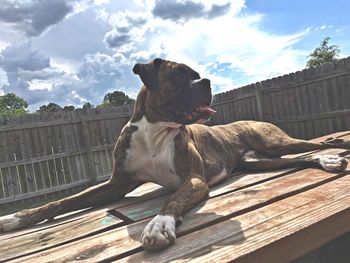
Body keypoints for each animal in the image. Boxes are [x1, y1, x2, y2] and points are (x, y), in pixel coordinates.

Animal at [0, 58, 350, 252]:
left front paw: (158, 225)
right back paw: (328, 160)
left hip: (277, 143)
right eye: (180, 76)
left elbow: (170, 201)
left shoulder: (193, 180)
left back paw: (335, 152)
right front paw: (16, 218)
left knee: (316, 146)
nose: (207, 80)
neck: (155, 130)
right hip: (258, 160)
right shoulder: (117, 184)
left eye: (196, 74)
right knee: (301, 159)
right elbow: (62, 202)